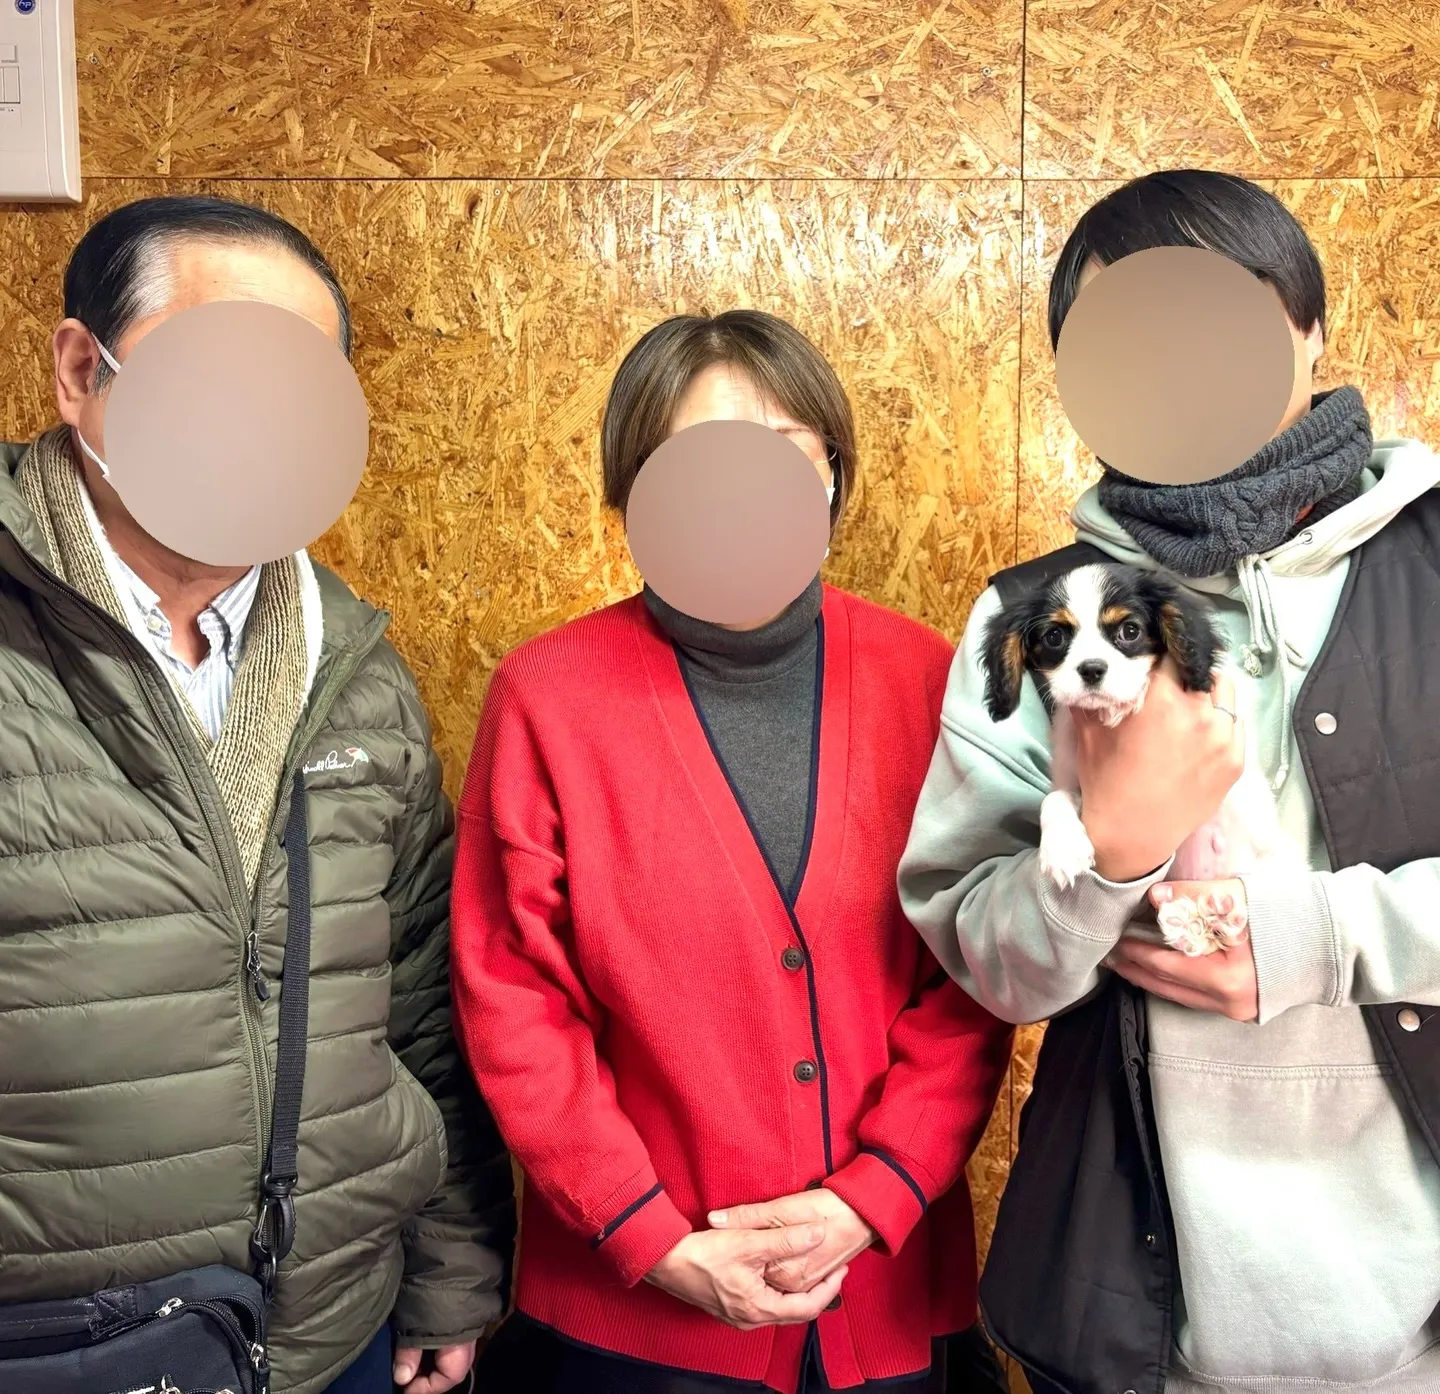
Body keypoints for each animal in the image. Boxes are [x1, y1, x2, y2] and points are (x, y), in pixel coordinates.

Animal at [980, 562, 1298, 956]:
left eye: (1129, 630)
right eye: (1054, 637)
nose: (1092, 669)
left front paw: (1131, 697)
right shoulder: (1074, 782)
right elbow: (1053, 799)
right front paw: (1062, 848)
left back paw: (1223, 914)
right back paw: (1192, 925)